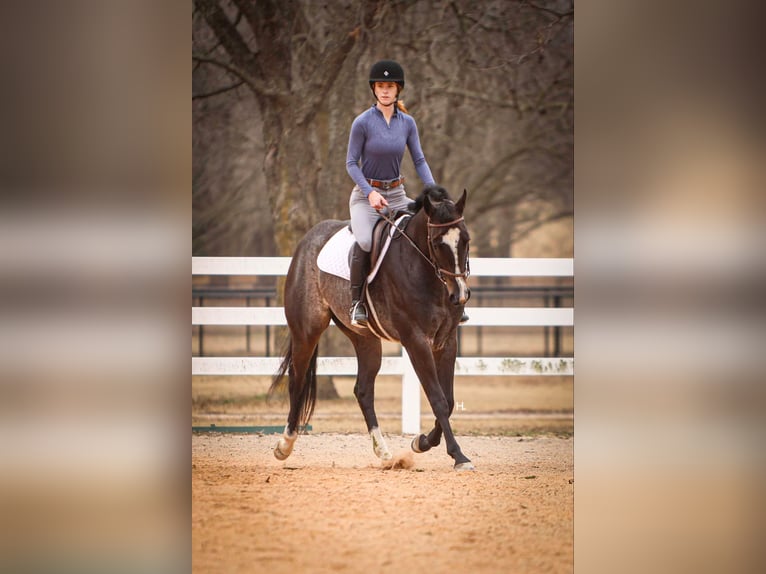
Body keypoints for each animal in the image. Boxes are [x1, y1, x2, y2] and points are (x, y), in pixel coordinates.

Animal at [268, 187, 474, 470]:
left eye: (465, 240)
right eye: (435, 243)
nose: (460, 295)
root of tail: (308, 238)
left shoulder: (446, 341)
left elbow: (450, 400)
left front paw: (421, 442)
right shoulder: (416, 341)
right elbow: (438, 400)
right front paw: (458, 455)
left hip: (365, 339)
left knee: (363, 389)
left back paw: (384, 452)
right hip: (306, 332)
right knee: (296, 381)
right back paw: (284, 445)